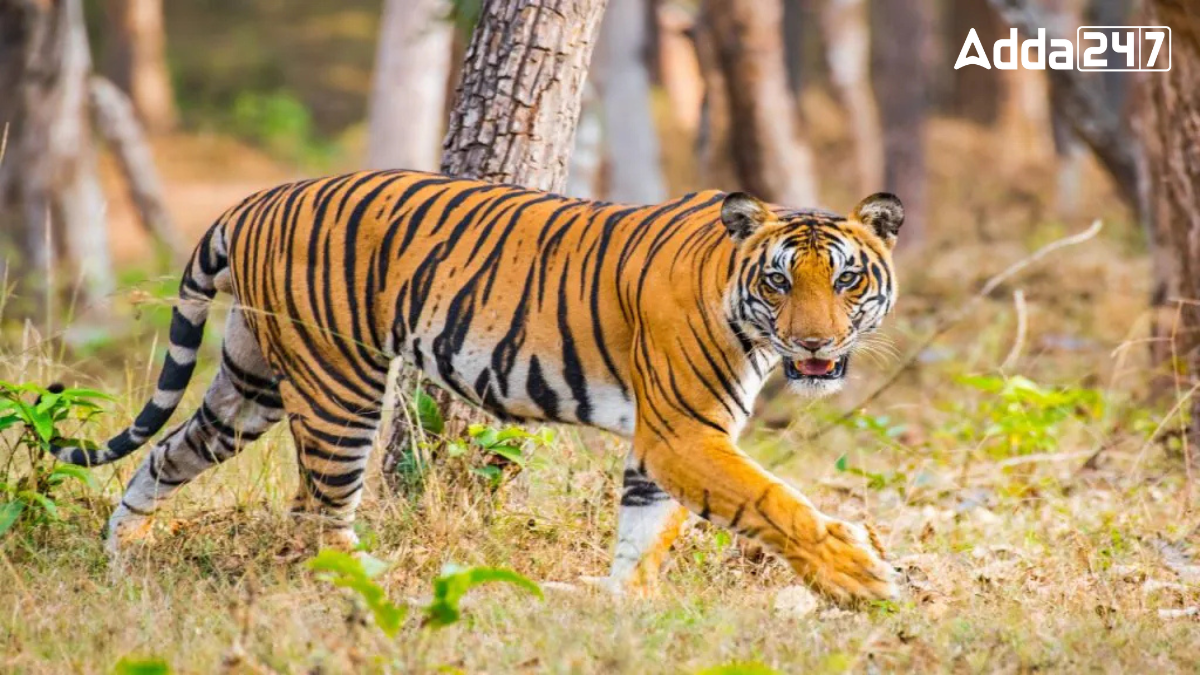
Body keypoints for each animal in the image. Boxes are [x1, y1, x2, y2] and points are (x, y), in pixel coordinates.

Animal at [49, 170, 904, 603]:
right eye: (780, 281)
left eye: (847, 279)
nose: (815, 343)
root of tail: (253, 199)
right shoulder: (681, 431)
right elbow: (773, 501)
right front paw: (862, 577)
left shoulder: (662, 443)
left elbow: (644, 532)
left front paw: (623, 611)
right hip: (340, 384)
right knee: (316, 510)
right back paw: (371, 585)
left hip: (249, 381)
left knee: (165, 455)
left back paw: (122, 557)